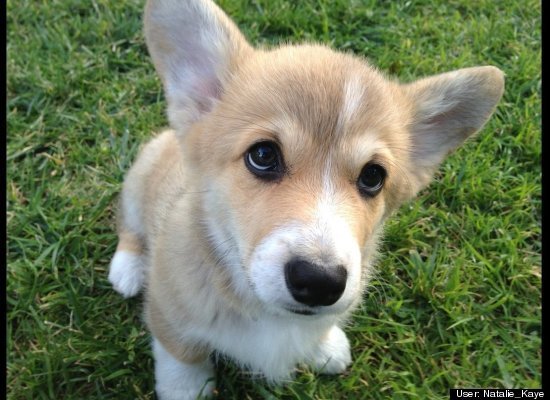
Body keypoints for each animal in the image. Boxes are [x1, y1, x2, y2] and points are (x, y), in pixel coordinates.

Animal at [108, 1, 504, 398]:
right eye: (263, 155)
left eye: (373, 177)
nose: (320, 282)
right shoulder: (170, 316)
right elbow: (183, 362)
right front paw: (188, 389)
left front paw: (325, 348)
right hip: (139, 179)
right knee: (129, 226)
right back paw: (127, 269)